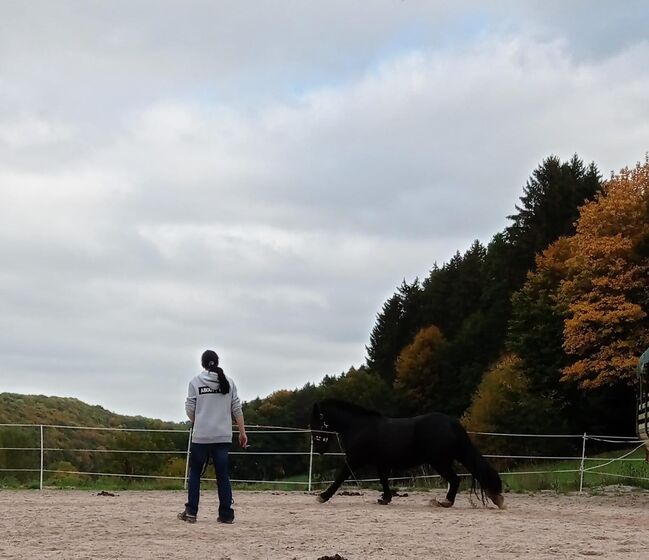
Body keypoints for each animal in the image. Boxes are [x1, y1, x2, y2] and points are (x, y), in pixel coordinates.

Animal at [312, 398, 504, 508]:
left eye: (318, 421)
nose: (319, 449)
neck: (358, 426)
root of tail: (452, 423)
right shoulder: (380, 463)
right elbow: (384, 480)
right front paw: (385, 499)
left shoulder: (354, 460)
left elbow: (340, 477)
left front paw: (322, 497)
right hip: (455, 456)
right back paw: (496, 498)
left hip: (439, 461)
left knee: (455, 479)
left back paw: (444, 502)